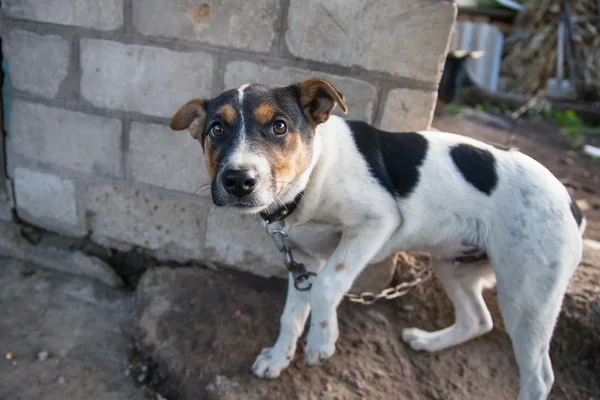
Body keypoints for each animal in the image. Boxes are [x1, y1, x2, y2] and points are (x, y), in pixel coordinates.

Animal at [170, 79, 584, 398]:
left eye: (279, 127)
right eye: (216, 130)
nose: (239, 181)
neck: (313, 176)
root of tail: (571, 203)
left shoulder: (376, 222)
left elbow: (326, 288)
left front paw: (321, 342)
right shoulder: (302, 259)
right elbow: (293, 314)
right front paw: (278, 356)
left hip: (527, 296)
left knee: (539, 375)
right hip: (455, 266)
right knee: (478, 321)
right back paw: (429, 341)